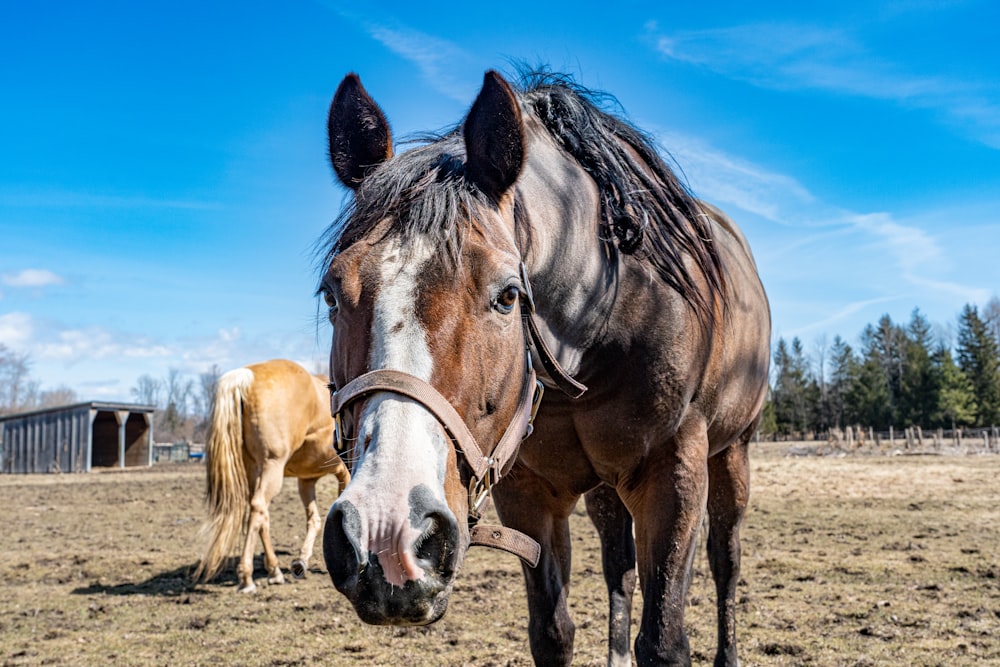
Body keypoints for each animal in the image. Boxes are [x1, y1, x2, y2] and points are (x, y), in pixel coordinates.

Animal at [195, 360, 352, 596]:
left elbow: (314, 520)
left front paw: (301, 562)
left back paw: (274, 571)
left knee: (262, 516)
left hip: (255, 470)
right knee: (258, 509)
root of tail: (246, 377)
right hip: (272, 466)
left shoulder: (306, 480)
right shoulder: (344, 473)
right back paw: (247, 577)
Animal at [316, 69, 768, 667]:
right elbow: (553, 632)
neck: (606, 314)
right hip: (606, 488)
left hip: (734, 450)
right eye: (331, 293)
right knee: (619, 569)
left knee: (726, 560)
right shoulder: (528, 492)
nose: (387, 533)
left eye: (508, 295)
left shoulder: (674, 471)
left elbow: (665, 641)